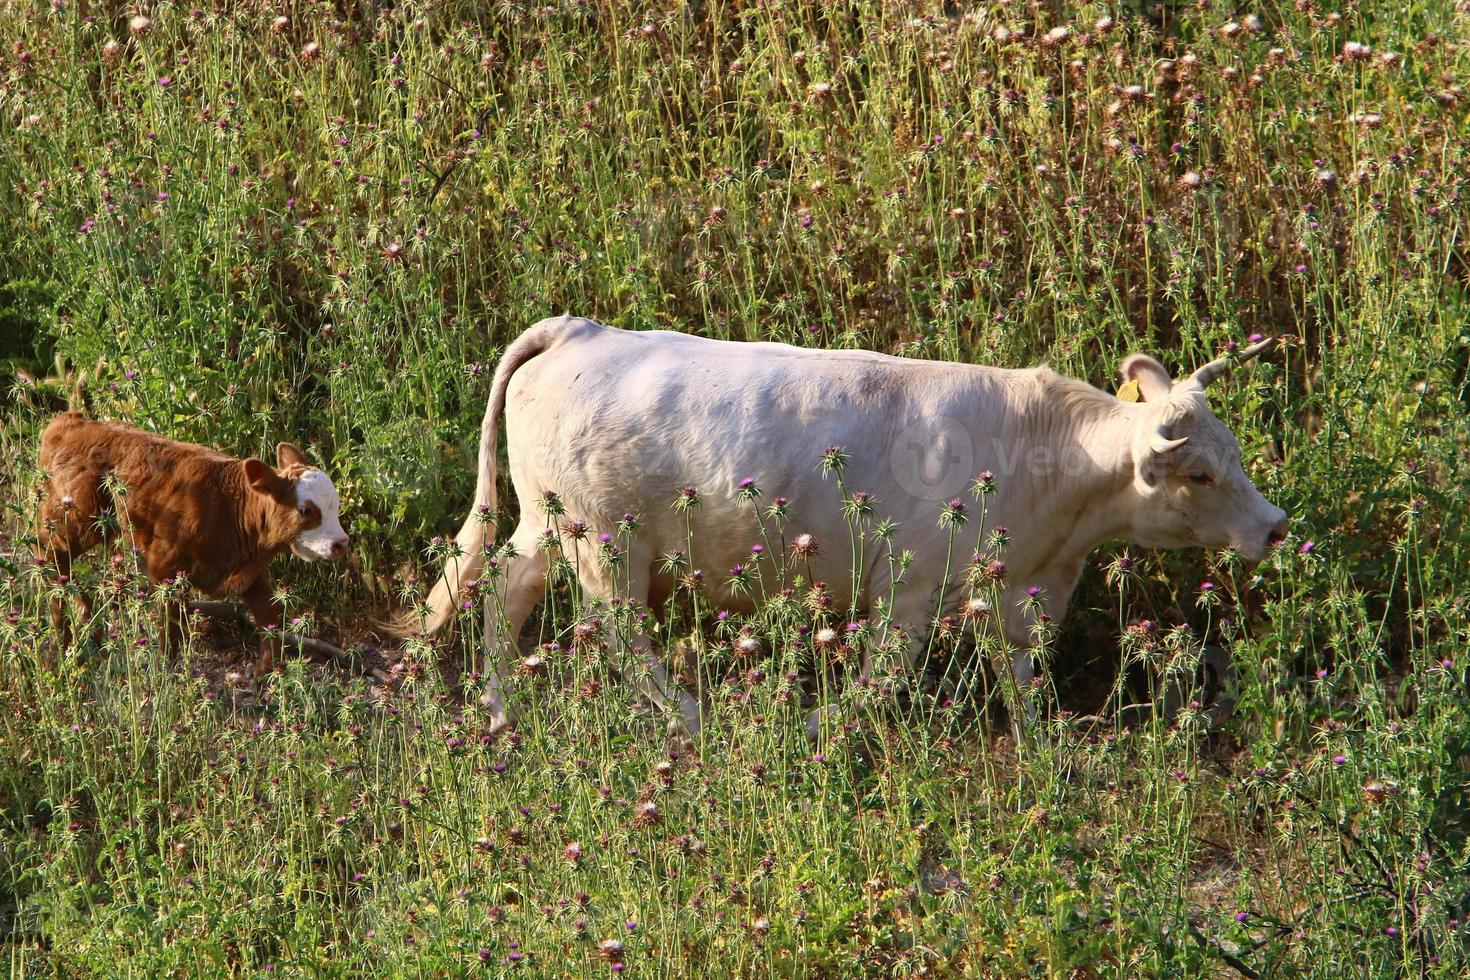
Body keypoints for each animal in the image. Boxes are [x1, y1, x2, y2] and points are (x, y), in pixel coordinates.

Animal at [36, 411, 346, 675]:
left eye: (335, 504)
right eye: (305, 510)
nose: (341, 543)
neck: (228, 507)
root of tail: (70, 421)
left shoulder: (249, 572)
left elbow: (268, 615)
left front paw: (265, 672)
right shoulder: (165, 568)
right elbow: (171, 627)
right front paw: (167, 670)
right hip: (74, 521)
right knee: (52, 560)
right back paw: (66, 637)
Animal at [414, 318, 1287, 740]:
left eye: (1235, 454)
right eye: (1199, 475)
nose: (1276, 527)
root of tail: (582, 331)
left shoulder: (1018, 590)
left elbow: (1022, 675)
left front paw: (1048, 750)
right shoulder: (907, 587)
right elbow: (883, 678)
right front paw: (815, 726)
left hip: (544, 521)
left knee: (503, 590)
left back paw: (501, 711)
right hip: (606, 542)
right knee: (624, 636)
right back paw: (692, 720)